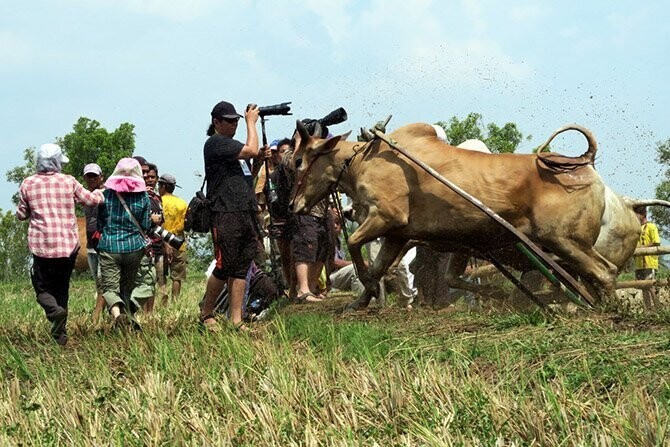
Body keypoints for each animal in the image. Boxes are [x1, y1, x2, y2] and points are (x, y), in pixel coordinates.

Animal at [292, 121, 624, 310]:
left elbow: (356, 247)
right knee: (598, 273)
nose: (294, 206)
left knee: (602, 272)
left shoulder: (388, 218)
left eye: (297, 160)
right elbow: (379, 267)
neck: (362, 159)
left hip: (561, 239)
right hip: (569, 244)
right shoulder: (400, 236)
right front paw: (360, 301)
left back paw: (610, 312)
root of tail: (583, 162)